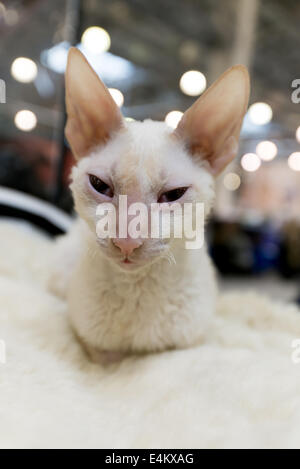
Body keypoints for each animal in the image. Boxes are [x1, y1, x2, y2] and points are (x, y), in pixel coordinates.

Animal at [50, 48, 250, 362]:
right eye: (99, 185)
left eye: (174, 194)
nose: (126, 242)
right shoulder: (92, 344)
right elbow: (104, 357)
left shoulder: (189, 343)